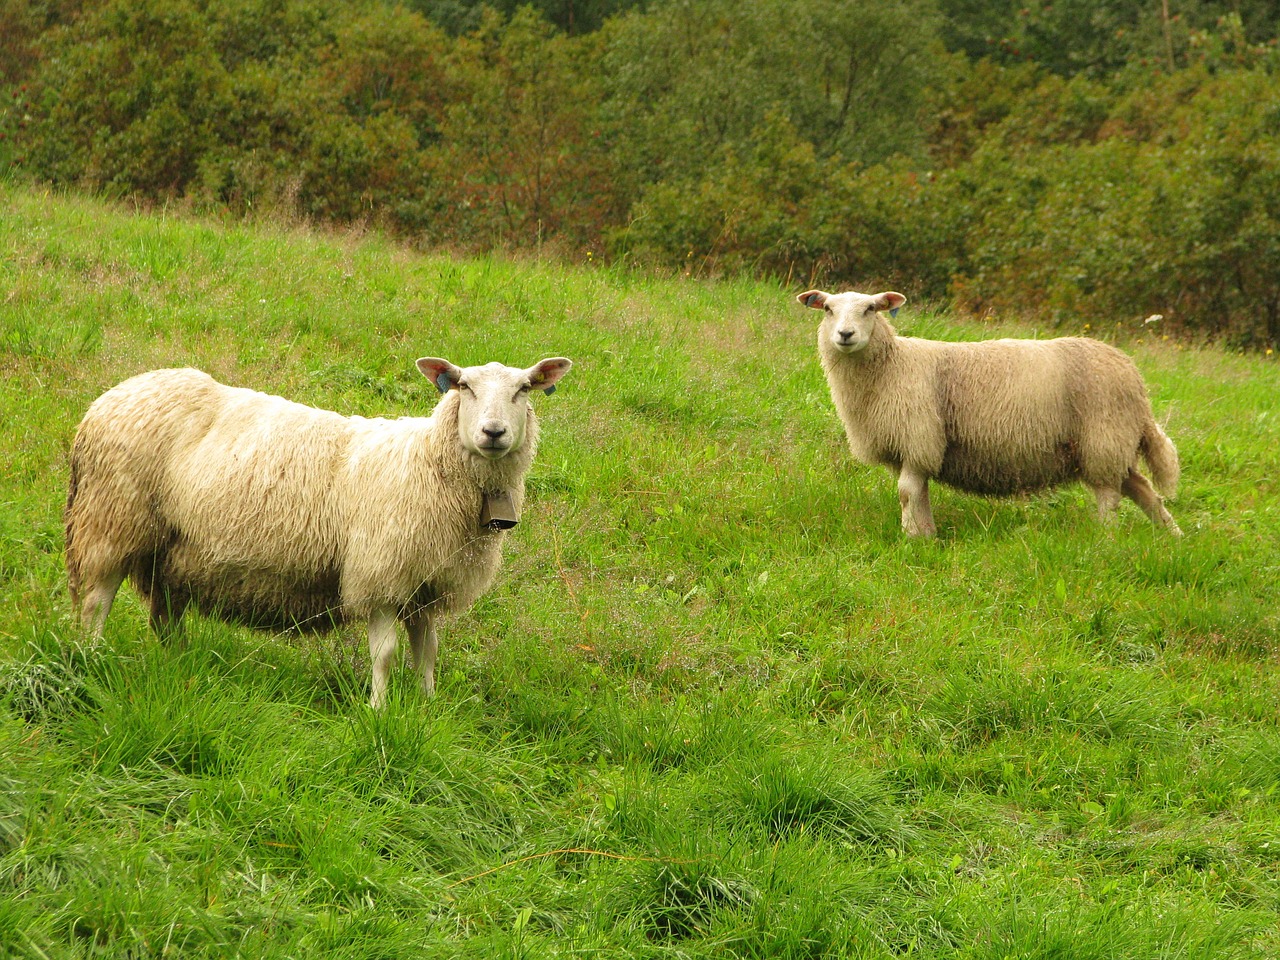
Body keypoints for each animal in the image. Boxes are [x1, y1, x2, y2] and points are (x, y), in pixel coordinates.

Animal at [63, 360, 576, 706]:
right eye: (465, 386)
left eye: (524, 389)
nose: (494, 432)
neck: (429, 462)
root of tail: (107, 399)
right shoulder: (379, 575)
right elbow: (386, 654)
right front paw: (379, 712)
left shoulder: (427, 585)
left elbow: (427, 652)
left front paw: (427, 707)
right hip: (113, 517)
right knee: (96, 601)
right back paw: (91, 659)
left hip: (174, 548)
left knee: (165, 615)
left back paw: (179, 665)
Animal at [798, 289, 1177, 537]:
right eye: (828, 308)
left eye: (871, 309)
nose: (845, 334)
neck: (893, 366)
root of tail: (1133, 374)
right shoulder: (912, 448)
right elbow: (919, 494)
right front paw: (927, 535)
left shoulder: (919, 436)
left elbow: (907, 493)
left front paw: (911, 538)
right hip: (1112, 441)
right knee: (1143, 490)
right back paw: (1171, 537)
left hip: (1103, 436)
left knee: (1110, 497)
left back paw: (1105, 539)